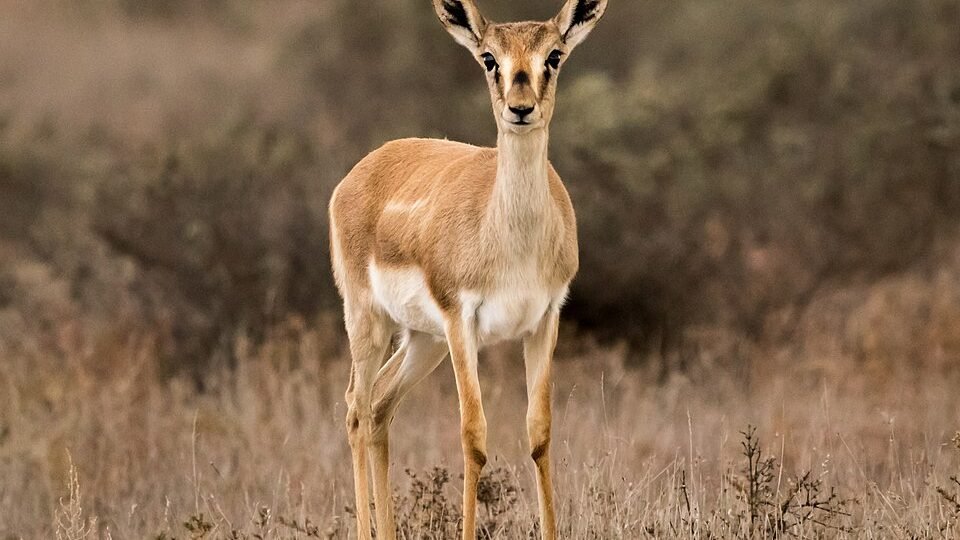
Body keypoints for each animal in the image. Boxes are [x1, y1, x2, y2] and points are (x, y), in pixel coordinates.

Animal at [328, 0, 607, 538]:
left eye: (554, 55)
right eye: (488, 58)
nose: (521, 108)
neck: (510, 240)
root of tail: (359, 171)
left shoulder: (545, 320)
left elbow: (540, 434)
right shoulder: (462, 321)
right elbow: (473, 437)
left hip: (423, 341)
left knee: (380, 408)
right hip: (370, 323)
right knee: (356, 407)